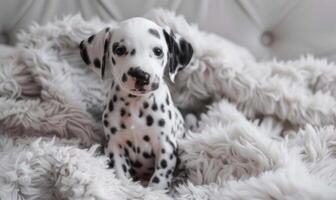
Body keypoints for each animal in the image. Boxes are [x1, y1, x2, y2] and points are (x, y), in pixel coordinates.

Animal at [79, 17, 193, 189]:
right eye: (119, 50)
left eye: (158, 51)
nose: (141, 75)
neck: (136, 104)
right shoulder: (115, 145)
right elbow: (120, 173)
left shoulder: (166, 146)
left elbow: (159, 179)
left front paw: (154, 192)